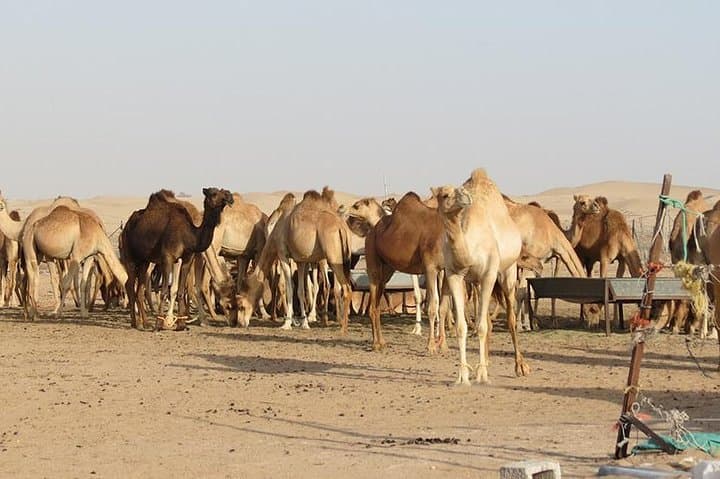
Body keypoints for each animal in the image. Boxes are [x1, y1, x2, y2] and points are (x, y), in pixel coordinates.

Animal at [120, 188, 234, 331]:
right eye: (214, 193)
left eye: (223, 190)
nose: (230, 196)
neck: (189, 235)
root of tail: (125, 227)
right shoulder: (168, 258)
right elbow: (166, 291)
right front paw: (160, 324)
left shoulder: (187, 259)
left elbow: (180, 290)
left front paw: (181, 325)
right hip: (130, 255)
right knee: (129, 284)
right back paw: (134, 323)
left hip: (144, 260)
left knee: (140, 288)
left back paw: (145, 323)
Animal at [235, 189, 353, 333]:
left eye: (241, 305)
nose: (240, 323)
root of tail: (342, 228)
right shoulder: (300, 261)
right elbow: (301, 290)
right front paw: (304, 323)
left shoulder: (283, 254)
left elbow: (290, 288)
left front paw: (286, 324)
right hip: (342, 257)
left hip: (333, 257)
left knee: (344, 287)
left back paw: (342, 327)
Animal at [433, 169, 530, 385]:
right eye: (444, 195)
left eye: (458, 190)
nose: (465, 196)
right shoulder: (454, 275)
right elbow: (463, 326)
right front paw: (463, 376)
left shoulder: (489, 274)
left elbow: (483, 327)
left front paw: (483, 375)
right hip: (477, 282)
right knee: (485, 319)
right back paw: (485, 361)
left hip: (507, 271)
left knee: (510, 317)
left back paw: (520, 366)